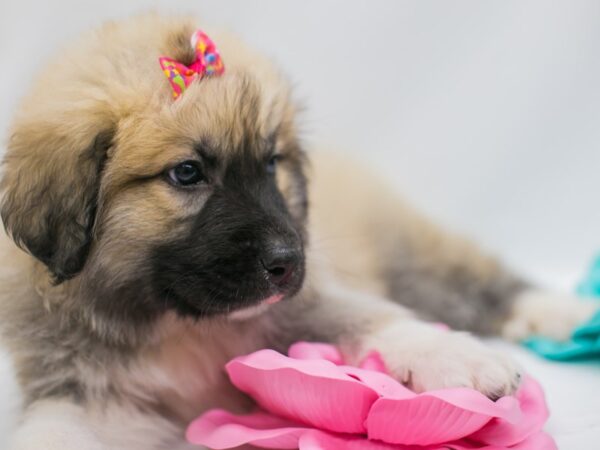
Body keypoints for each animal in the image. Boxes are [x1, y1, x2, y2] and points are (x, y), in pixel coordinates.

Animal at [0, 14, 592, 450]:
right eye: (187, 173)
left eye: (270, 163)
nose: (288, 261)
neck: (178, 326)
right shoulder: (88, 394)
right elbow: (54, 431)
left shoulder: (304, 308)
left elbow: (374, 321)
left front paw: (463, 359)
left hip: (411, 254)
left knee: (482, 283)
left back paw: (567, 313)